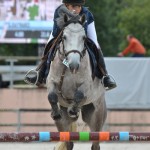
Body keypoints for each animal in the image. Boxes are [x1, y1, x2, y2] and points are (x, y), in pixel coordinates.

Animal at [47, 14, 106, 150]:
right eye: (64, 37)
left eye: (83, 37)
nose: (74, 64)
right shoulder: (51, 81)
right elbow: (51, 95)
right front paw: (56, 113)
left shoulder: (86, 86)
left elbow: (79, 95)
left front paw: (73, 110)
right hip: (62, 124)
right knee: (68, 140)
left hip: (96, 116)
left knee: (95, 143)